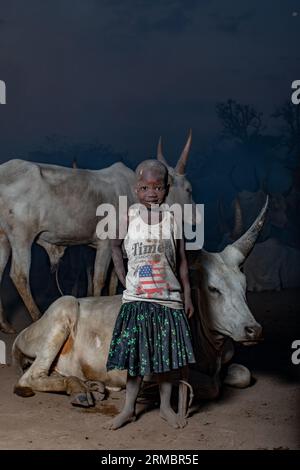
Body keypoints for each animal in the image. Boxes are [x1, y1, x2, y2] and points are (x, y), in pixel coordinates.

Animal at [12, 198, 268, 408]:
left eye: (244, 285)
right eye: (213, 289)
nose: (253, 330)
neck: (210, 347)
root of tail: (24, 332)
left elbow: (242, 374)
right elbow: (210, 385)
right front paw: (150, 391)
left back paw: (91, 386)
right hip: (63, 309)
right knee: (31, 377)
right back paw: (80, 390)